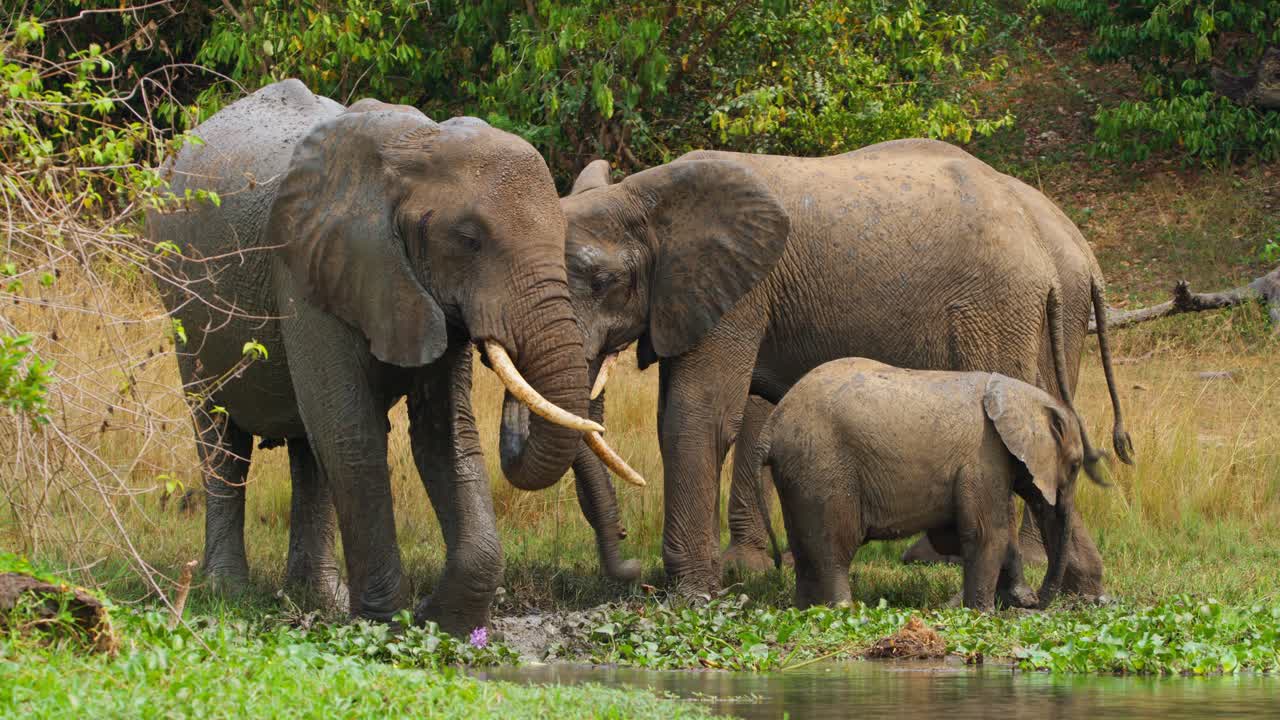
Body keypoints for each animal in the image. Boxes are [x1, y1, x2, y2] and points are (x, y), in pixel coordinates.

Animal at [147, 79, 637, 634]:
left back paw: (320, 599)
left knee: (308, 447)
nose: (630, 559)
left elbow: (445, 433)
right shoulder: (313, 267)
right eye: (468, 240)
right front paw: (386, 622)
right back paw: (227, 591)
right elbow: (352, 433)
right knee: (220, 435)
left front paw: (436, 620)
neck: (419, 145)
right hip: (183, 301)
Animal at [755, 358, 1098, 611]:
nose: (1038, 603)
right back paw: (842, 611)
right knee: (833, 546)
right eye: (1075, 465)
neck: (1018, 394)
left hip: (800, 472)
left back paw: (805, 610)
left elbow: (958, 536)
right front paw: (983, 612)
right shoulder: (983, 458)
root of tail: (772, 425)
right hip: (823, 466)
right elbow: (989, 533)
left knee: (805, 548)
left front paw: (1014, 600)